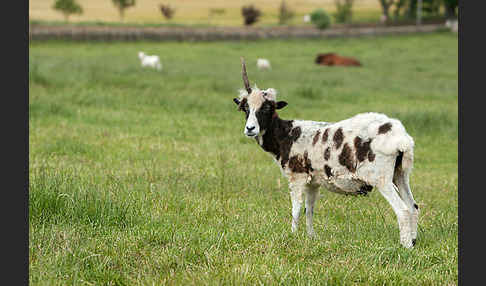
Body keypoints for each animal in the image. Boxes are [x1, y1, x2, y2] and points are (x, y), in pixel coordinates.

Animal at [234, 58, 420, 248]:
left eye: (266, 109)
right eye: (245, 109)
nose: (250, 129)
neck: (286, 134)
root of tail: (401, 137)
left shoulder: (297, 177)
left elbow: (296, 209)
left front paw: (292, 236)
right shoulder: (313, 182)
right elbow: (309, 209)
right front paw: (311, 237)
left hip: (381, 177)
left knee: (403, 210)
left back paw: (405, 246)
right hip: (400, 173)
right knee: (413, 207)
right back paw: (413, 241)